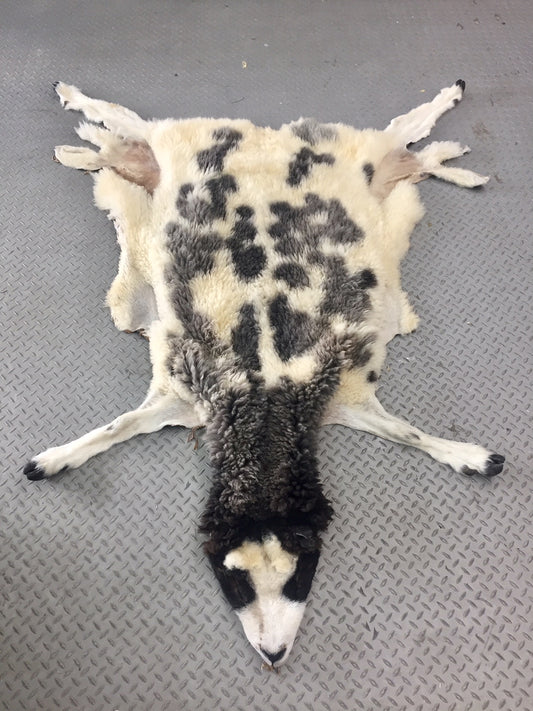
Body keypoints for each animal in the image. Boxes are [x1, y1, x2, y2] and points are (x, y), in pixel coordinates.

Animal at [24, 80, 504, 668]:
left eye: (301, 578)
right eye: (235, 585)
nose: (274, 655)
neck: (267, 403)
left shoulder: (341, 393)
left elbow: (408, 433)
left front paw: (471, 457)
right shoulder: (183, 391)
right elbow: (119, 427)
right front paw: (53, 459)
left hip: (363, 158)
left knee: (403, 132)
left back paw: (447, 109)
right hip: (169, 142)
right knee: (121, 123)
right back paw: (75, 109)